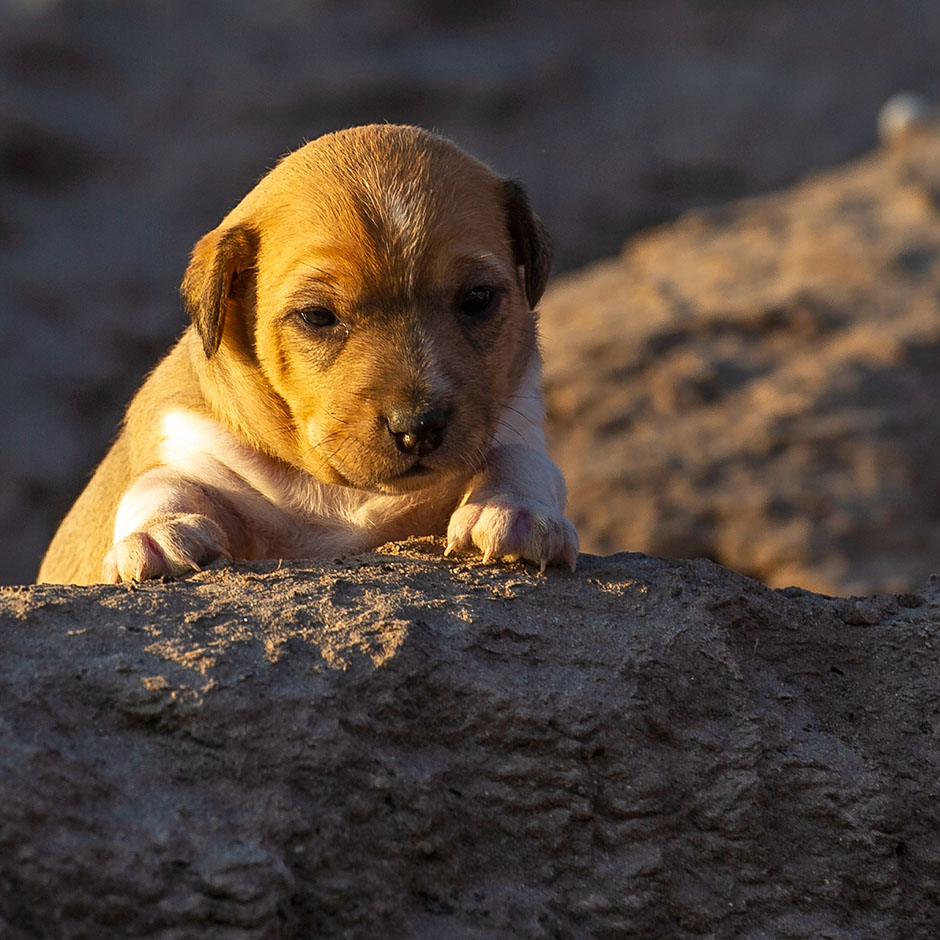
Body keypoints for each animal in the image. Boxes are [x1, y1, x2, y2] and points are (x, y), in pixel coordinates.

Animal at [36, 122, 576, 584]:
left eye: (478, 298)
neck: (344, 495)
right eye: (317, 316)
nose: (418, 428)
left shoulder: (516, 424)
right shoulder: (188, 440)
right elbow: (160, 485)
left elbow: (520, 459)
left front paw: (514, 512)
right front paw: (156, 535)